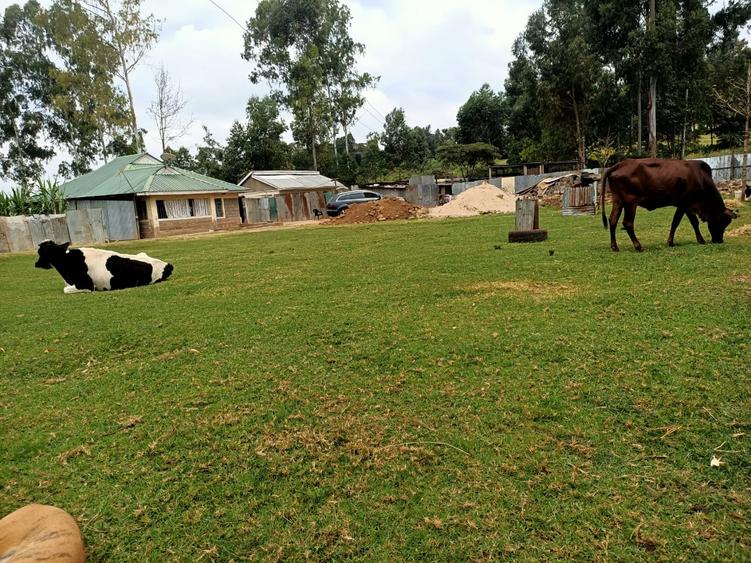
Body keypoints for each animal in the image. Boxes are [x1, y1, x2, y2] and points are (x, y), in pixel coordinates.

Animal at [604, 158, 736, 252]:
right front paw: (672, 242)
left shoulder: (687, 206)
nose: (719, 240)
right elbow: (677, 222)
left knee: (613, 220)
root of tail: (621, 164)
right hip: (630, 203)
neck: (701, 179)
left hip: (618, 201)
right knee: (627, 223)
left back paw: (614, 247)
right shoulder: (684, 204)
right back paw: (638, 246)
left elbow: (692, 223)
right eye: (723, 222)